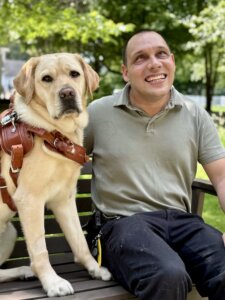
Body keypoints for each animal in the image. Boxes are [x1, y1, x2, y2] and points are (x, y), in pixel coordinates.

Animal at [0, 53, 111, 296]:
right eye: (46, 79)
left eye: (74, 74)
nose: (67, 93)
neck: (56, 132)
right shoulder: (30, 200)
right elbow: (40, 250)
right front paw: (52, 283)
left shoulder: (64, 199)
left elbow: (79, 240)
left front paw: (94, 269)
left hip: (10, 231)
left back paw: (23, 271)